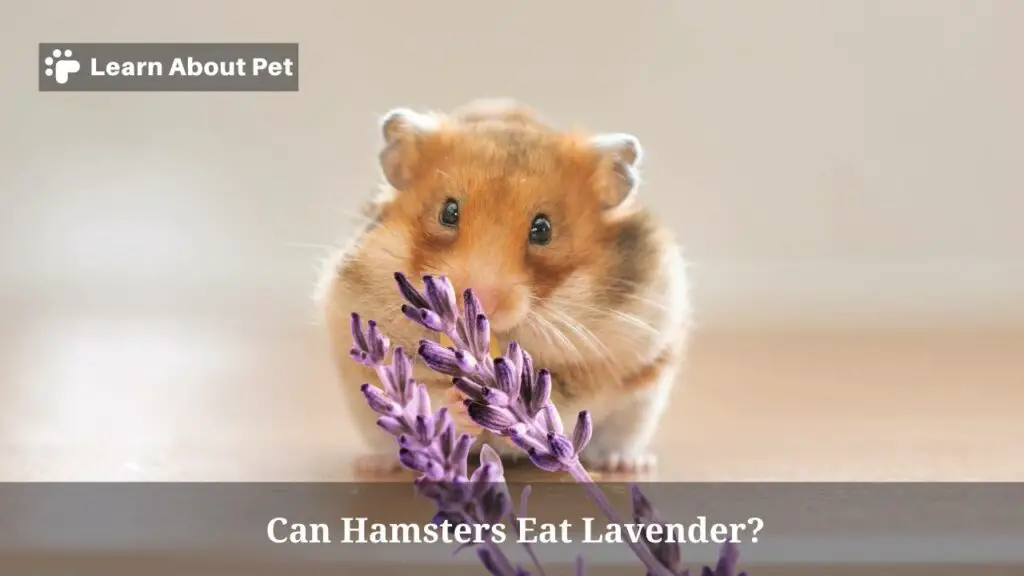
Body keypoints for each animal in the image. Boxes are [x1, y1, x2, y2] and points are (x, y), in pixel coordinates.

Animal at [316, 99, 691, 474]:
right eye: (448, 212)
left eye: (543, 229)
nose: (480, 301)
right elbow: (427, 394)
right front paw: (460, 403)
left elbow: (559, 399)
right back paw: (376, 465)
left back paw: (626, 464)